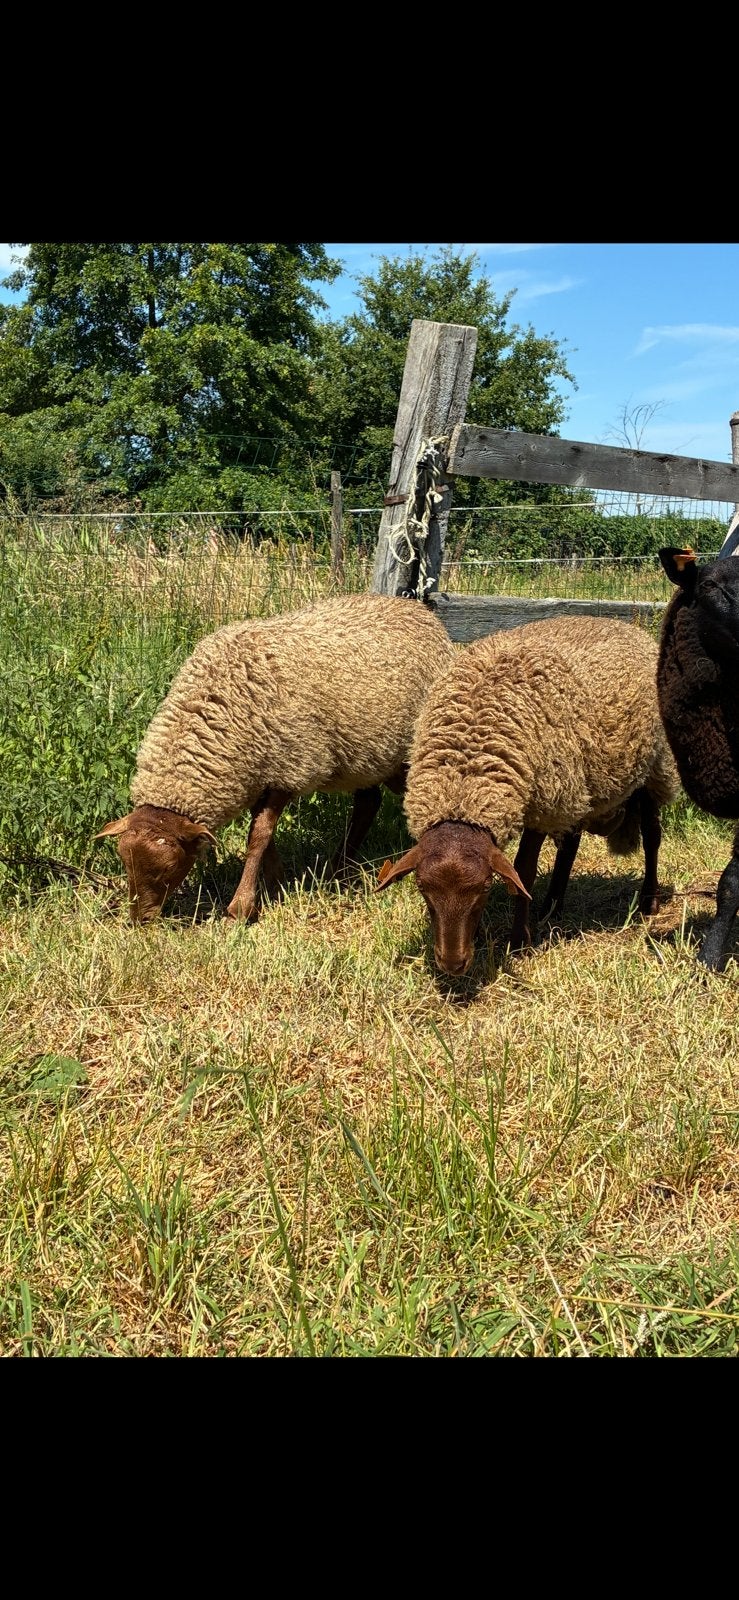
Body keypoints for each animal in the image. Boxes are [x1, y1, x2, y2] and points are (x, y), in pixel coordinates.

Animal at [96, 592, 456, 924]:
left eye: (167, 867)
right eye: (125, 863)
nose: (140, 919)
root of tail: (419, 609)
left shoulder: (292, 765)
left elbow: (258, 836)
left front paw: (241, 907)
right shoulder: (260, 769)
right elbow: (262, 834)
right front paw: (275, 881)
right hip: (364, 755)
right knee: (368, 803)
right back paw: (338, 868)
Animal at [375, 614, 679, 975]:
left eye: (484, 888)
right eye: (422, 888)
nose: (452, 964)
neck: (465, 783)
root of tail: (628, 627)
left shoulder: (540, 803)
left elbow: (524, 870)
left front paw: (519, 940)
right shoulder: (551, 797)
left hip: (652, 769)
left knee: (652, 836)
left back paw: (649, 901)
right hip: (577, 784)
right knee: (571, 844)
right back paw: (552, 906)